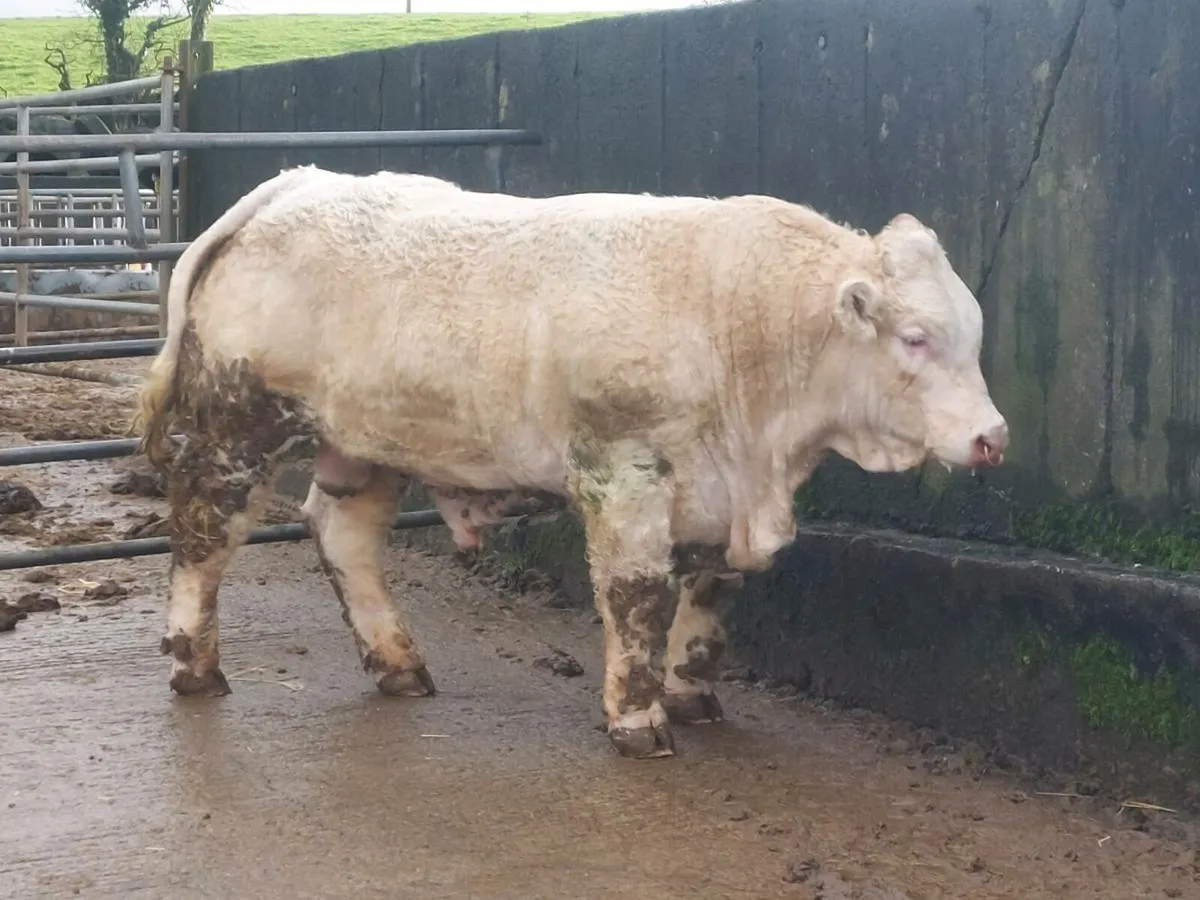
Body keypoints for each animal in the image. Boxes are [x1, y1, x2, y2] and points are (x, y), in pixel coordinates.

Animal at [135, 165, 1008, 759]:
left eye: (972, 334)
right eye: (916, 338)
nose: (992, 437)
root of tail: (293, 186)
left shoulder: (717, 492)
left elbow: (709, 593)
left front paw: (690, 692)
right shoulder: (623, 472)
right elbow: (637, 594)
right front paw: (638, 719)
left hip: (364, 440)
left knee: (342, 533)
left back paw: (398, 663)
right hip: (236, 424)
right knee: (203, 533)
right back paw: (195, 666)